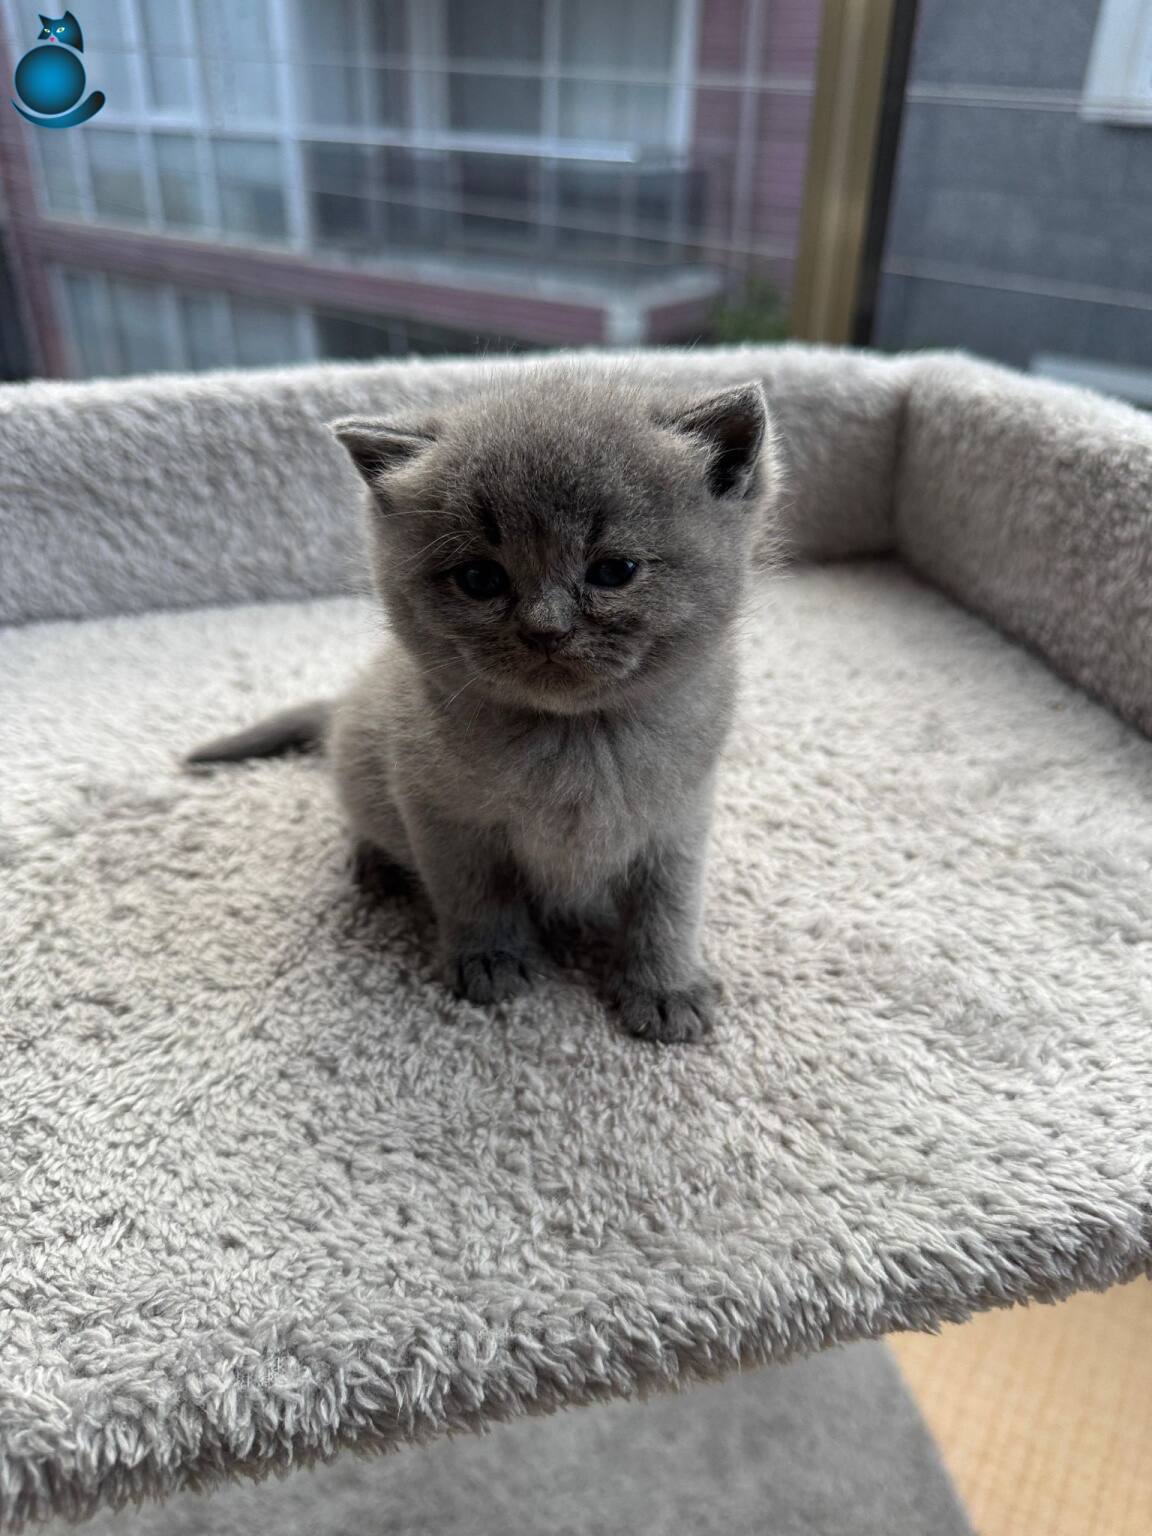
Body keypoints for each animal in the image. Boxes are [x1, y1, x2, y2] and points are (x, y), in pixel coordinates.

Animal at [188, 372, 777, 1043]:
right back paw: (376, 863)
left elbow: (669, 908)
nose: (546, 629)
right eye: (479, 579)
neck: (575, 741)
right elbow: (474, 895)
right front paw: (491, 960)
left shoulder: (677, 820)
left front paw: (665, 987)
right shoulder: (443, 816)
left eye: (614, 570)